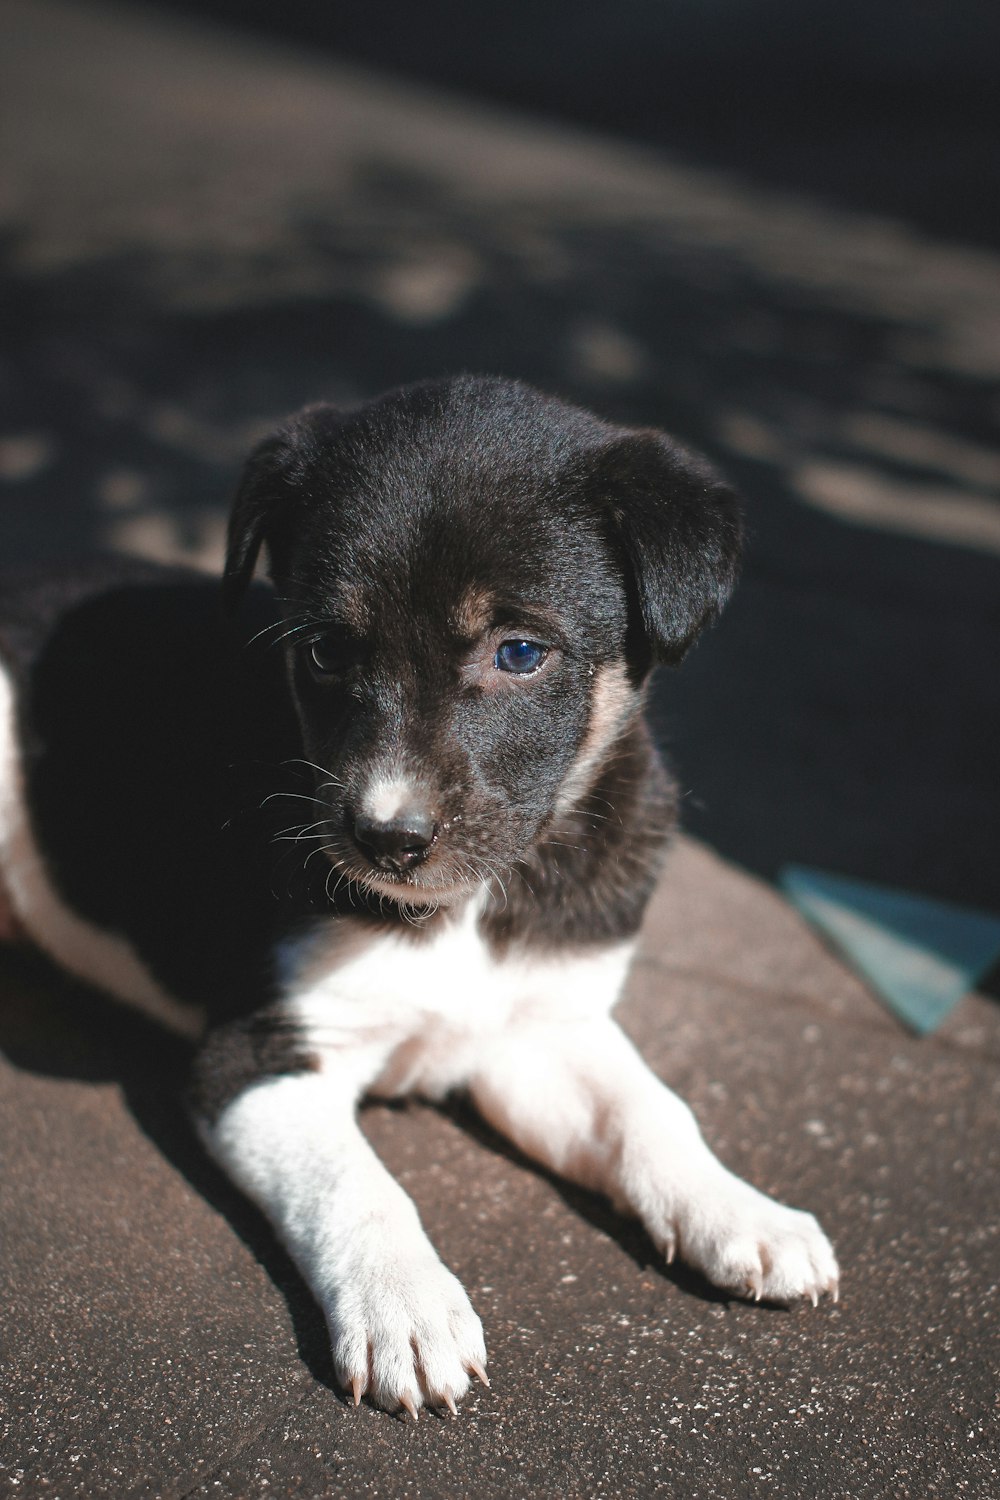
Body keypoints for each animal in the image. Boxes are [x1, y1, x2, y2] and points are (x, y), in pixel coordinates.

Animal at [0, 375, 839, 1416]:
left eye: (519, 653)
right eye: (323, 650)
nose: (385, 840)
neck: (471, 907)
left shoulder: (538, 1028)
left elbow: (650, 1111)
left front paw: (742, 1212)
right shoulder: (258, 1052)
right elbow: (358, 1185)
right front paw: (405, 1309)